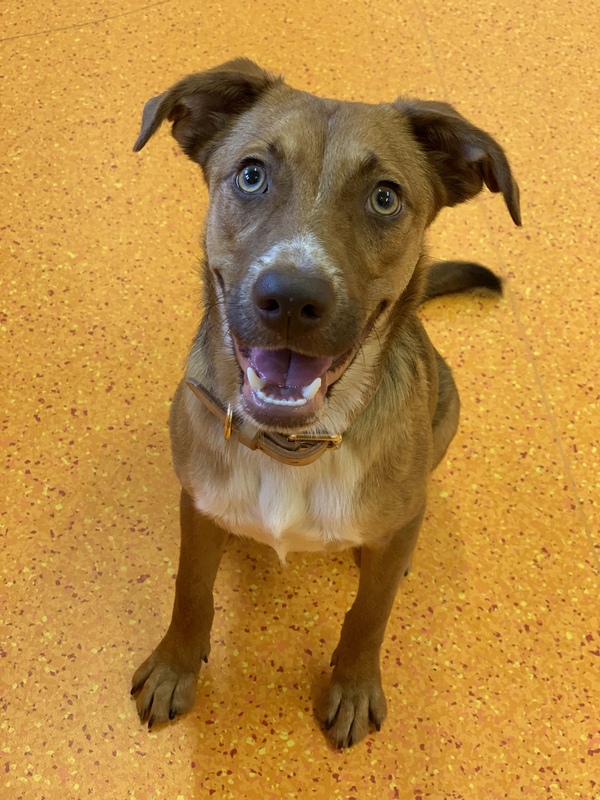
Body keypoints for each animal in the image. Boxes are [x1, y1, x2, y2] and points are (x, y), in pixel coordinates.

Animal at [130, 58, 520, 748]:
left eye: (385, 197)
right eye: (251, 174)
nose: (290, 298)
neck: (294, 446)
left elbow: (370, 614)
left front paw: (355, 684)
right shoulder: (197, 503)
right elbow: (190, 589)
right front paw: (176, 665)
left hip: (448, 413)